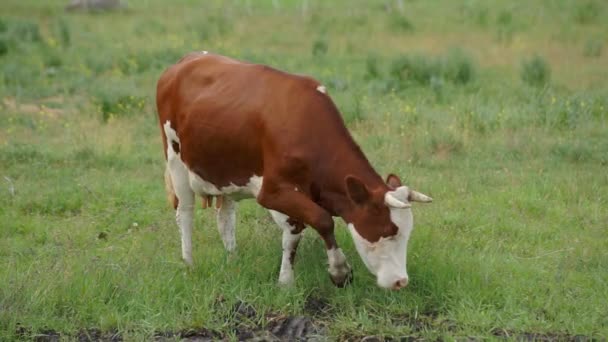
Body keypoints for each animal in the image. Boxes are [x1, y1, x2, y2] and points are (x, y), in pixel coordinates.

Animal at [157, 52, 432, 290]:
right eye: (387, 232)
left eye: (408, 232)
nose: (401, 281)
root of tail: (185, 60)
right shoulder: (272, 191)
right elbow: (322, 220)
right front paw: (339, 271)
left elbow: (293, 234)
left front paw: (285, 281)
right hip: (175, 160)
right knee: (185, 213)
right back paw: (189, 263)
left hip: (223, 171)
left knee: (225, 218)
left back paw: (232, 259)